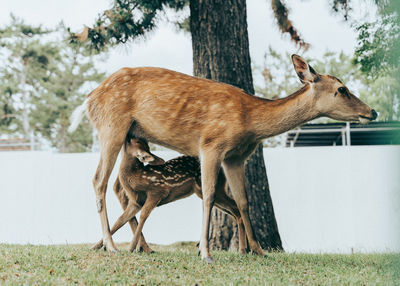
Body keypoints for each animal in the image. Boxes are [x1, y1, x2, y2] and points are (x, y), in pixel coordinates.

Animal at [91, 137, 247, 255]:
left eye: (135, 141)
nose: (129, 135)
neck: (136, 177)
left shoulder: (157, 191)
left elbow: (143, 216)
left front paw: (131, 248)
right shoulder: (136, 202)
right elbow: (120, 220)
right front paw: (98, 246)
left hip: (214, 189)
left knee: (236, 206)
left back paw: (242, 249)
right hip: (203, 192)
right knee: (234, 209)